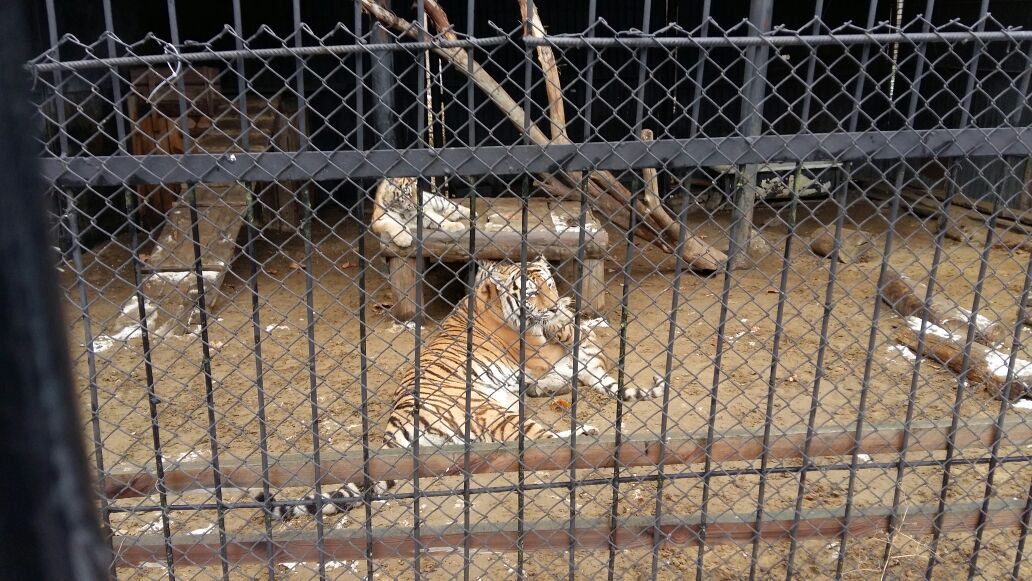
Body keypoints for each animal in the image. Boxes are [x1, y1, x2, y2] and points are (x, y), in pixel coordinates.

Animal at [258, 256, 665, 520]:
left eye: (550, 284)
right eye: (531, 292)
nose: (551, 308)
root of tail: (395, 426)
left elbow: (601, 374)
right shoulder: (540, 355)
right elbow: (570, 352)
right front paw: (567, 328)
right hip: (491, 410)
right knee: (538, 442)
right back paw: (586, 432)